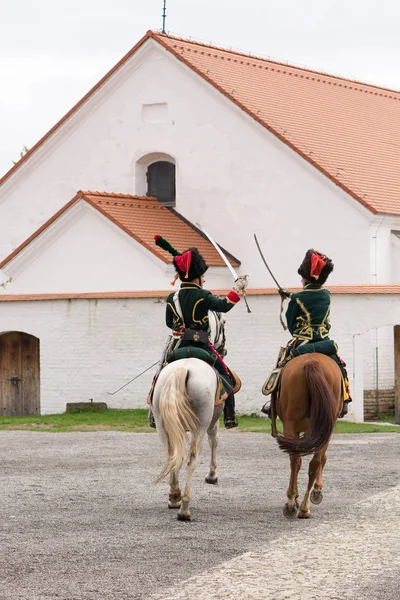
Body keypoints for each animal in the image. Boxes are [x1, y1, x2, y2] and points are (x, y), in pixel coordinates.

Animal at [152, 312, 228, 524]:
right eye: (223, 323)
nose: (224, 350)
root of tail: (184, 369)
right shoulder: (212, 422)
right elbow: (214, 441)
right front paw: (212, 475)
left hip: (162, 425)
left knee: (171, 455)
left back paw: (174, 496)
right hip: (199, 426)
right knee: (192, 458)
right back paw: (184, 508)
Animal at [276, 354, 344, 516]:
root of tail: (312, 362)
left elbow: (299, 461)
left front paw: (295, 499)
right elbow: (319, 459)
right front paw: (315, 491)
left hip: (291, 424)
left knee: (296, 459)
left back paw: (293, 502)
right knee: (315, 461)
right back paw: (304, 506)